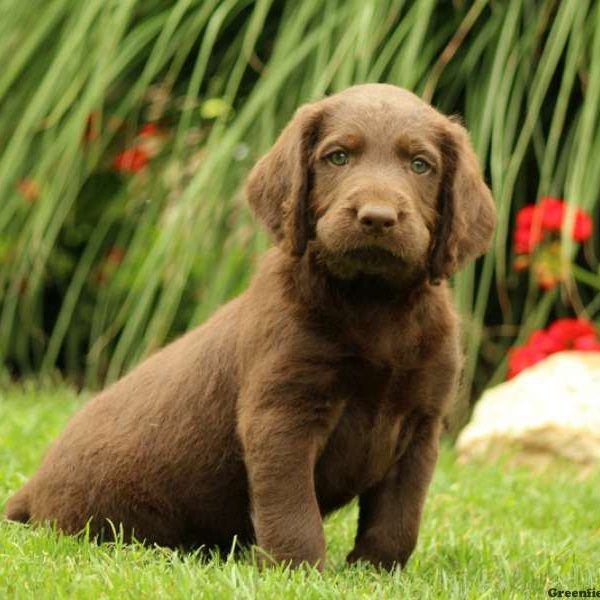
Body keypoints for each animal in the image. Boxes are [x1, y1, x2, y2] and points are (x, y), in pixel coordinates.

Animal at [5, 83, 496, 568]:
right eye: (338, 157)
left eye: (420, 165)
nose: (377, 217)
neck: (374, 302)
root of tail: (32, 488)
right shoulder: (282, 412)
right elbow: (292, 506)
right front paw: (299, 571)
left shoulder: (420, 424)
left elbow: (399, 516)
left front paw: (375, 571)